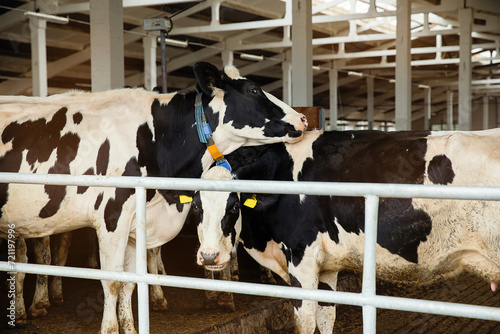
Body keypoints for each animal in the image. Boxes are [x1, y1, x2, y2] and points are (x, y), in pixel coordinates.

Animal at [0, 62, 308, 334]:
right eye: (253, 90)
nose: (303, 119)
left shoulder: (135, 225)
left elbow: (129, 282)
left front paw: (130, 328)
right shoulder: (112, 218)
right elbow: (112, 282)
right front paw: (110, 329)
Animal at [193, 129, 500, 334]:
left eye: (233, 206)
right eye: (196, 207)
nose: (209, 256)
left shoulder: (302, 259)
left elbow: (305, 322)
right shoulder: (326, 266)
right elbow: (326, 317)